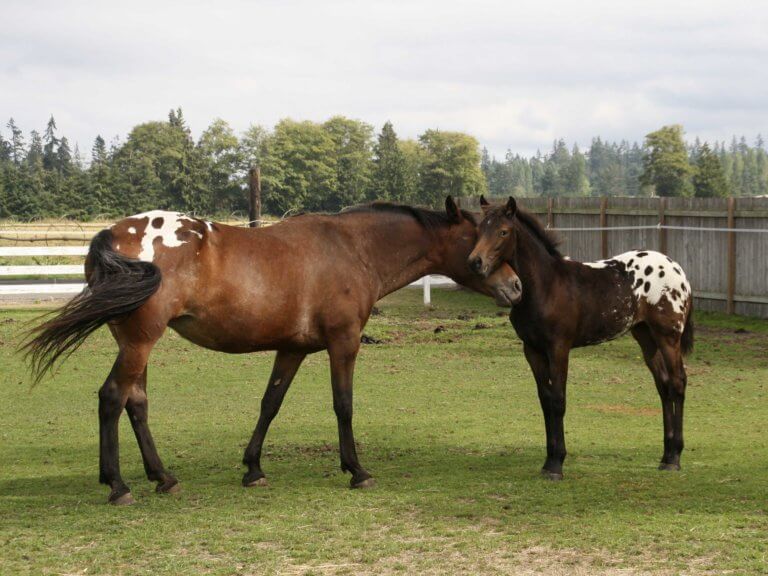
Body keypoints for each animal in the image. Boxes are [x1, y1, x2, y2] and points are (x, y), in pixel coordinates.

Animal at [27, 198, 524, 504]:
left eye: (502, 234)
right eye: (479, 239)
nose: (516, 286)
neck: (353, 249)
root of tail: (113, 234)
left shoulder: (292, 349)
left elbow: (271, 403)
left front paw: (252, 468)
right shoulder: (343, 342)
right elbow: (343, 404)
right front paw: (356, 469)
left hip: (136, 341)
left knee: (136, 403)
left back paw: (163, 477)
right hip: (140, 340)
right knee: (112, 398)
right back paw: (118, 484)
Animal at [464, 198, 692, 482]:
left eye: (503, 232)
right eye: (479, 229)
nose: (475, 262)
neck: (546, 285)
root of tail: (677, 269)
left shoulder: (559, 348)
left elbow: (558, 400)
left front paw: (556, 465)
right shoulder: (532, 350)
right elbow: (545, 400)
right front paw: (548, 460)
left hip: (668, 335)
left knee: (678, 383)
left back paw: (675, 458)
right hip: (645, 336)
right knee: (664, 385)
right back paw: (666, 455)